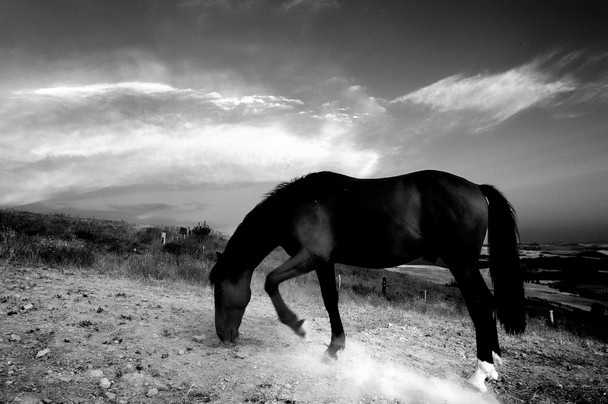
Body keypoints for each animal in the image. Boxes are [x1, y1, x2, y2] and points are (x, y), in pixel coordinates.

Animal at [208, 170, 524, 392]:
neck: (299, 204)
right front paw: (334, 348)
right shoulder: (323, 261)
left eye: (220, 290)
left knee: (480, 304)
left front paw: (298, 326)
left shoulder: (310, 256)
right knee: (486, 304)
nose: (224, 336)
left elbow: (270, 282)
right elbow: (330, 300)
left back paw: (480, 373)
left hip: (463, 266)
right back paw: (493, 364)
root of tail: (477, 188)